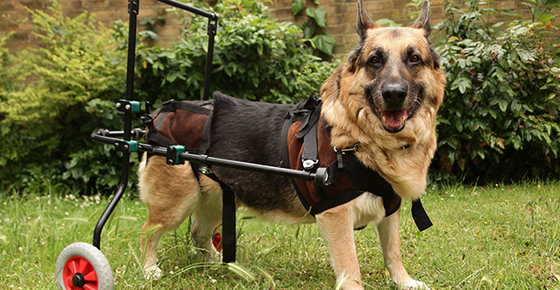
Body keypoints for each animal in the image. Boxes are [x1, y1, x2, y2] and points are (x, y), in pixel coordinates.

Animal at [140, 1, 446, 288]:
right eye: (374, 60)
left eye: (414, 59)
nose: (394, 94)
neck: (362, 137)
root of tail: (159, 114)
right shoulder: (336, 215)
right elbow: (351, 267)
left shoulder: (389, 208)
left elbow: (393, 253)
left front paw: (404, 282)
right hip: (176, 204)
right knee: (147, 232)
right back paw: (149, 269)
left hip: (215, 199)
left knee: (198, 234)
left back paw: (220, 265)